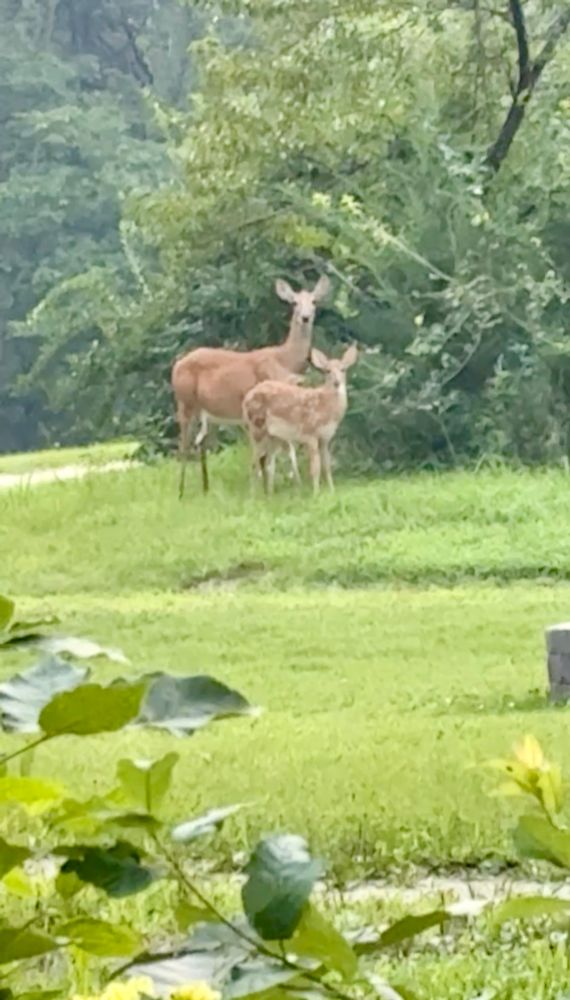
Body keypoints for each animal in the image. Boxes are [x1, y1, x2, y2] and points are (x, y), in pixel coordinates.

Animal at [171, 275, 331, 496]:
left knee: (200, 442)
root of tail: (176, 366)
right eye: (294, 303)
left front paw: (270, 487)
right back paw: (181, 492)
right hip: (184, 402)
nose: (305, 317)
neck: (284, 359)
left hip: (206, 412)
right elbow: (279, 449)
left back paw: (205, 488)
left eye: (314, 301)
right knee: (183, 445)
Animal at [243, 343, 358, 496]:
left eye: (343, 369)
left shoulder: (325, 438)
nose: (336, 382)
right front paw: (316, 494)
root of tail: (246, 399)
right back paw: (253, 496)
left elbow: (327, 466)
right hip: (257, 428)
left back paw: (269, 495)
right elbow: (315, 468)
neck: (325, 407)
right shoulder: (310, 434)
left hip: (274, 436)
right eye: (327, 371)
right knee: (253, 463)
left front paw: (332, 492)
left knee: (268, 464)